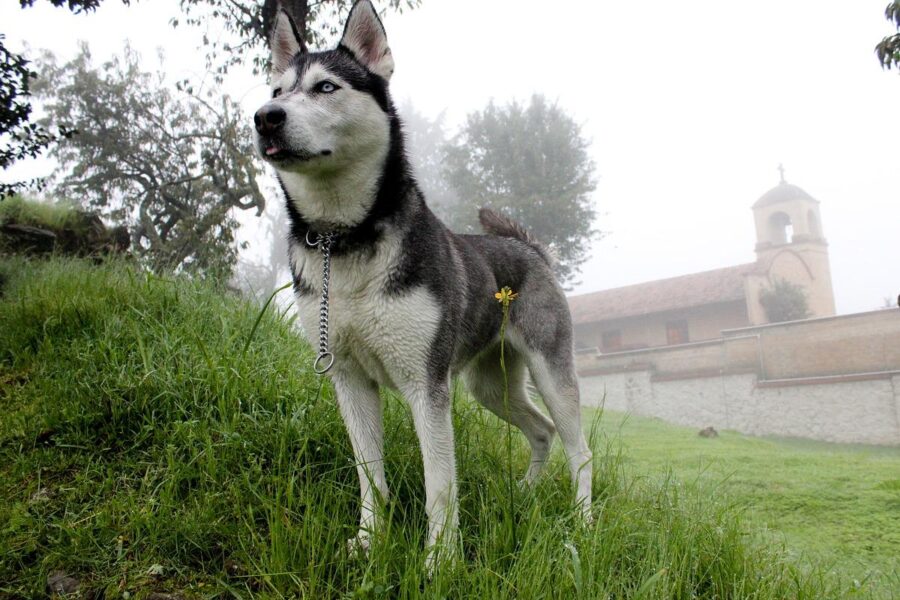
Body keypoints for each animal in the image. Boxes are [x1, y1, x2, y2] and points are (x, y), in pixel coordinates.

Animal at [253, 0, 592, 564]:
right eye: (277, 91)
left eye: (326, 87)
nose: (265, 118)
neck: (344, 239)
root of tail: (532, 249)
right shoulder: (349, 380)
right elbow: (370, 476)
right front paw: (369, 542)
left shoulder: (425, 386)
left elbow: (441, 484)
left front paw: (441, 561)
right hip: (489, 387)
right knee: (541, 432)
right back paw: (525, 494)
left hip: (550, 373)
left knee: (579, 450)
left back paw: (583, 522)